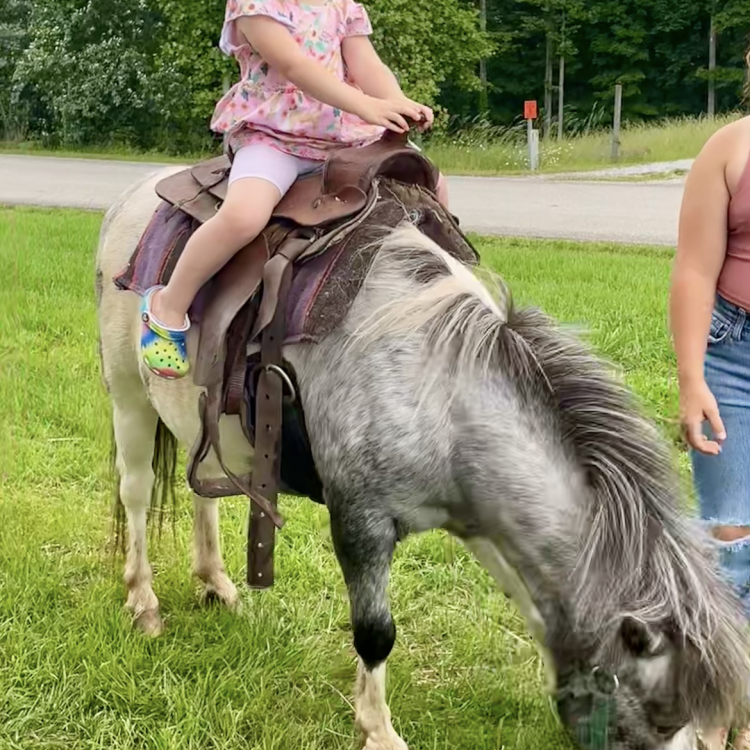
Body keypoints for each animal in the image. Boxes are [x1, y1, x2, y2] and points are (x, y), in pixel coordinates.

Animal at [97, 166, 750, 750]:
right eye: (664, 716)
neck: (441, 390)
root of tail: (134, 195)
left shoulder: (483, 521)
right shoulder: (360, 523)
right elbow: (376, 634)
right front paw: (378, 731)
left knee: (199, 487)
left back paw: (215, 582)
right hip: (128, 396)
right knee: (136, 495)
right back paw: (143, 603)